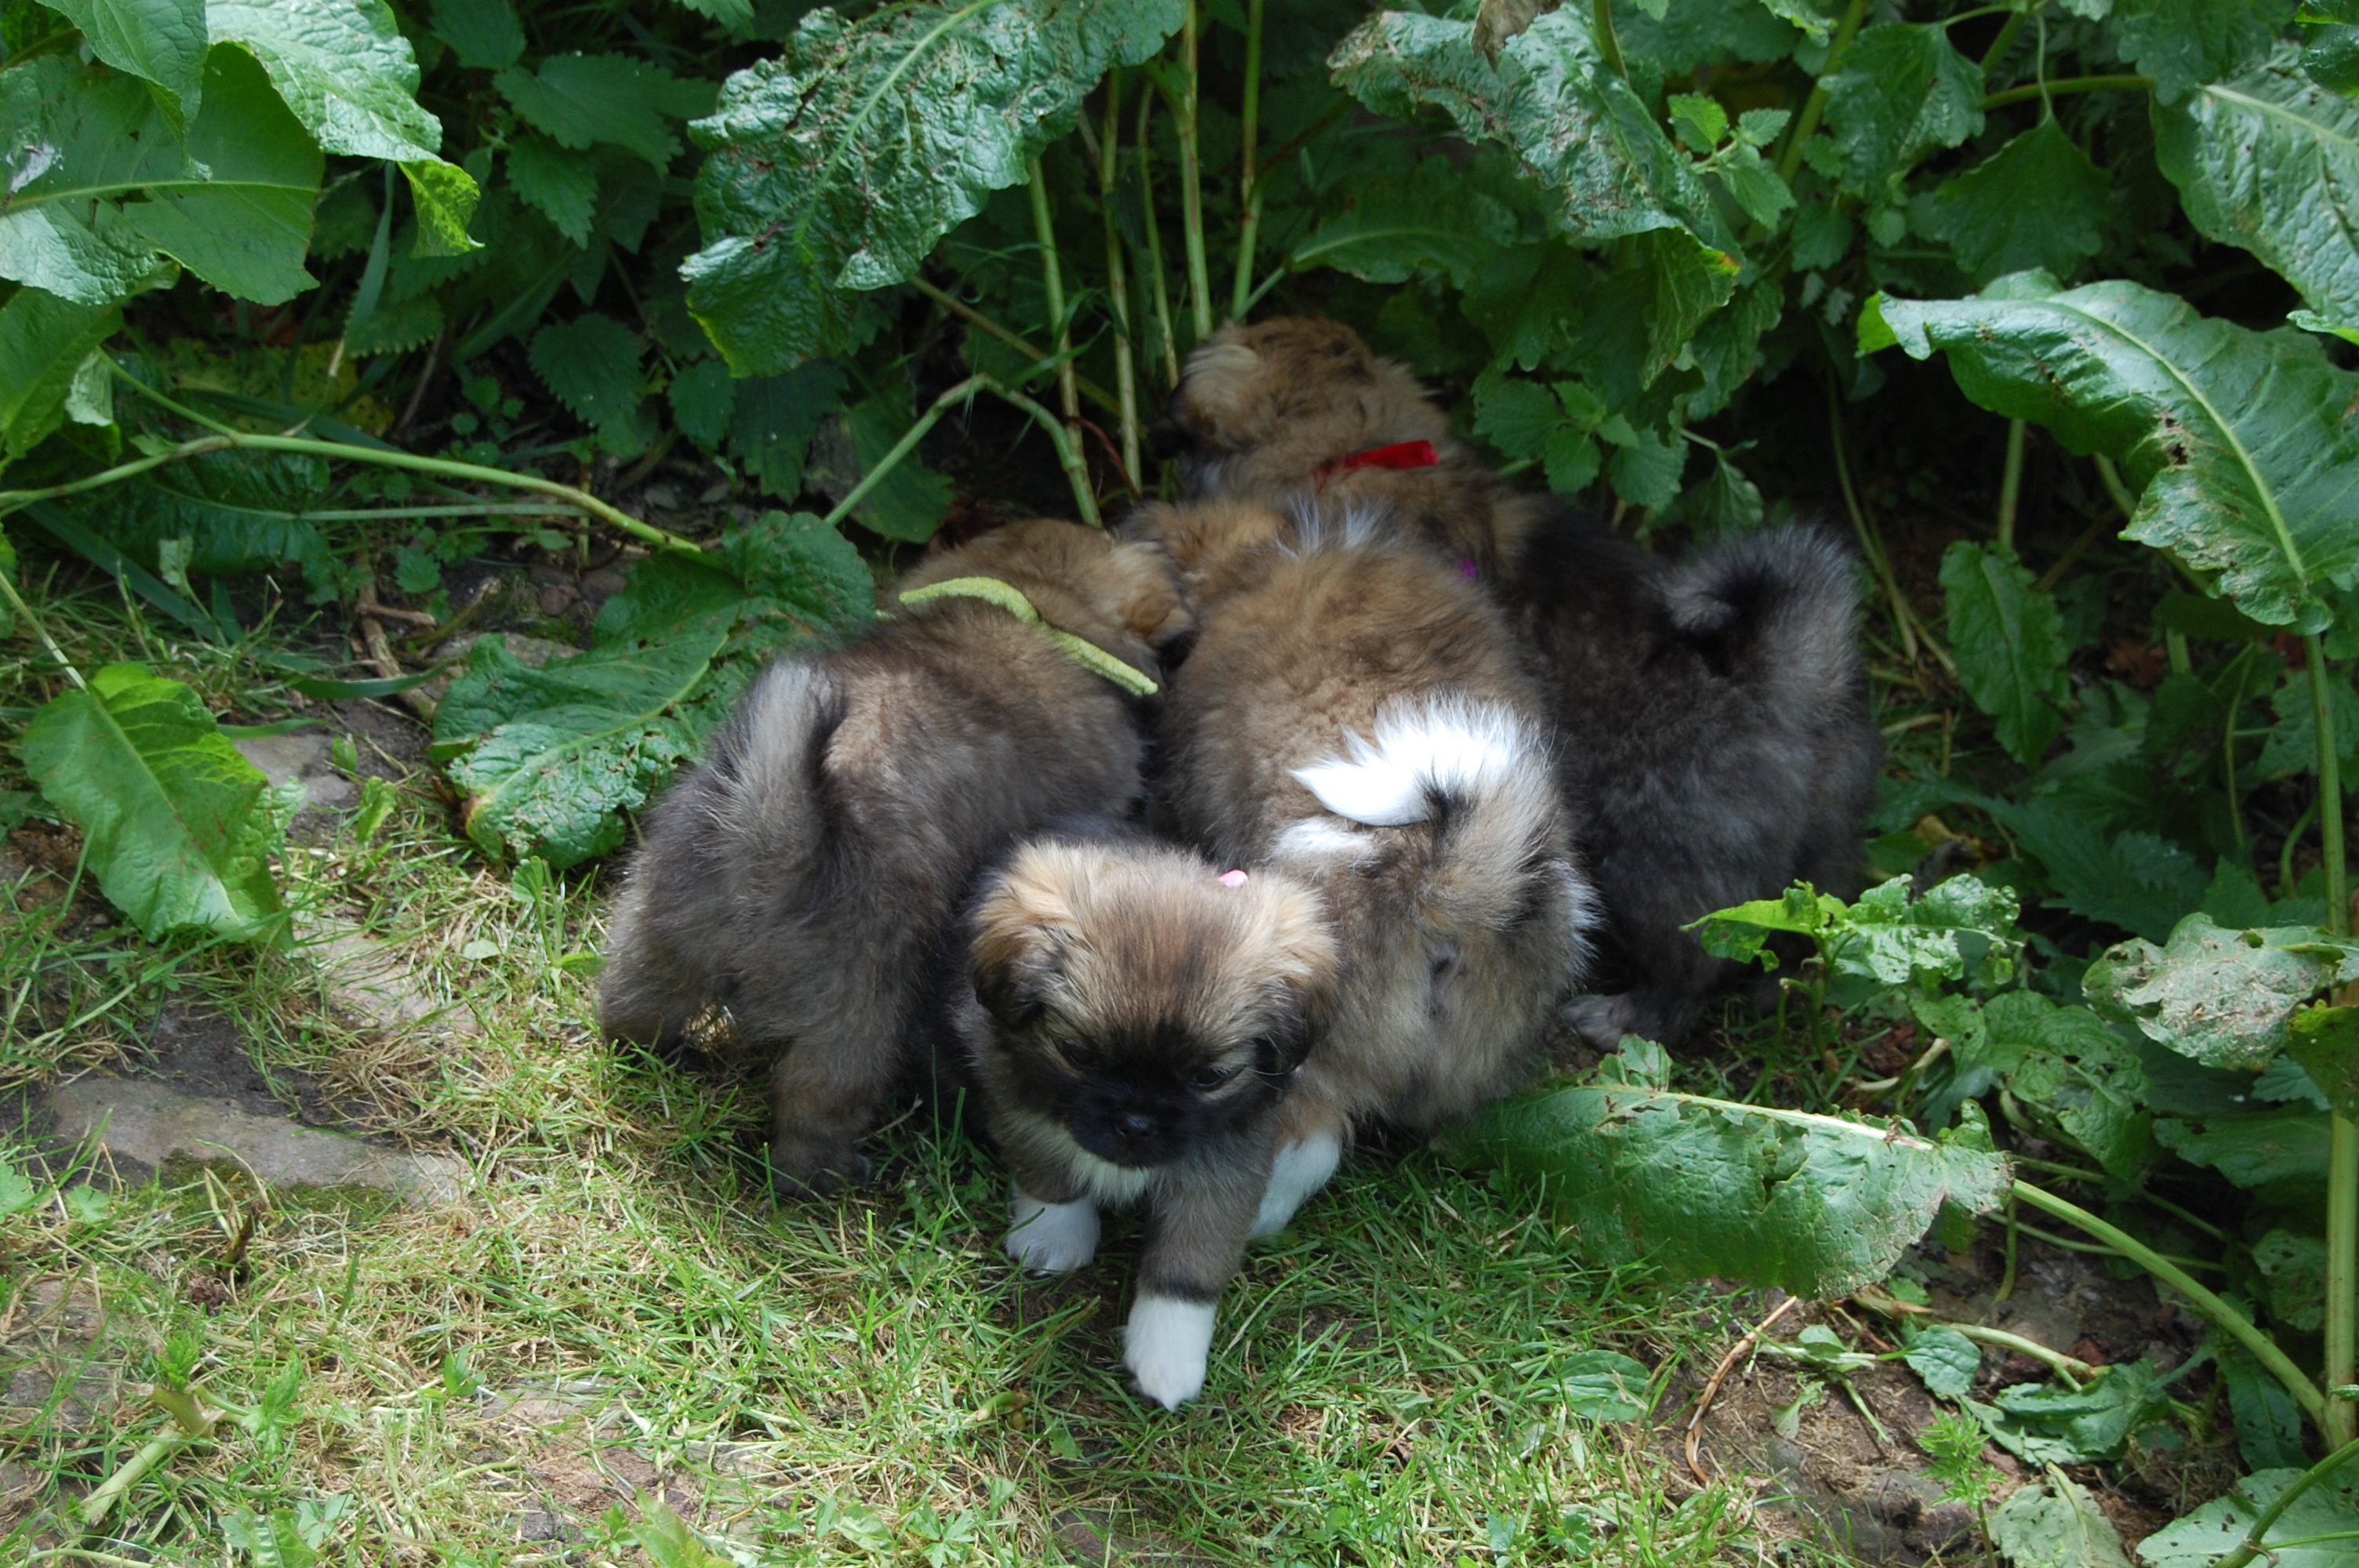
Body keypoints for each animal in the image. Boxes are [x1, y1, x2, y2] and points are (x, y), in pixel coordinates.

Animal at [597, 518, 1191, 1196]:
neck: (1037, 605)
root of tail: (767, 843)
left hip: (658, 936)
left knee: (631, 1012)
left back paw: (664, 1055)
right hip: (863, 1017)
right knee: (813, 1112)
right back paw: (834, 1177)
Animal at [957, 825, 1339, 1409]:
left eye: (1209, 1077)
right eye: (1078, 1054)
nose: (1136, 1122)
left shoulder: (1225, 1166)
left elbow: (1189, 1265)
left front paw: (1168, 1357)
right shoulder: (1018, 1102)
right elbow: (1049, 1170)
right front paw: (1054, 1235)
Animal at [1154, 318, 1881, 1046]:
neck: (1362, 450)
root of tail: (1786, 680)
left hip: (1653, 872)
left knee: (1691, 972)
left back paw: (1618, 1018)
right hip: (1814, 861)